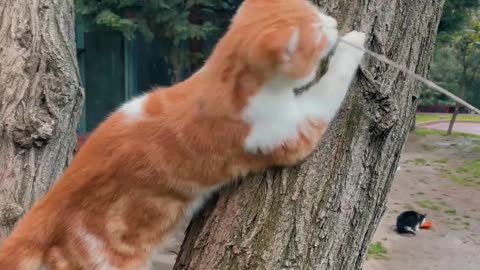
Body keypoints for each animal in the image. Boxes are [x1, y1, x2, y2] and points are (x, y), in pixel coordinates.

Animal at [0, 0, 366, 270]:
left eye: (316, 10)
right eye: (317, 32)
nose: (333, 23)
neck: (224, 76)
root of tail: (45, 209)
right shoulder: (294, 130)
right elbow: (329, 90)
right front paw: (356, 42)